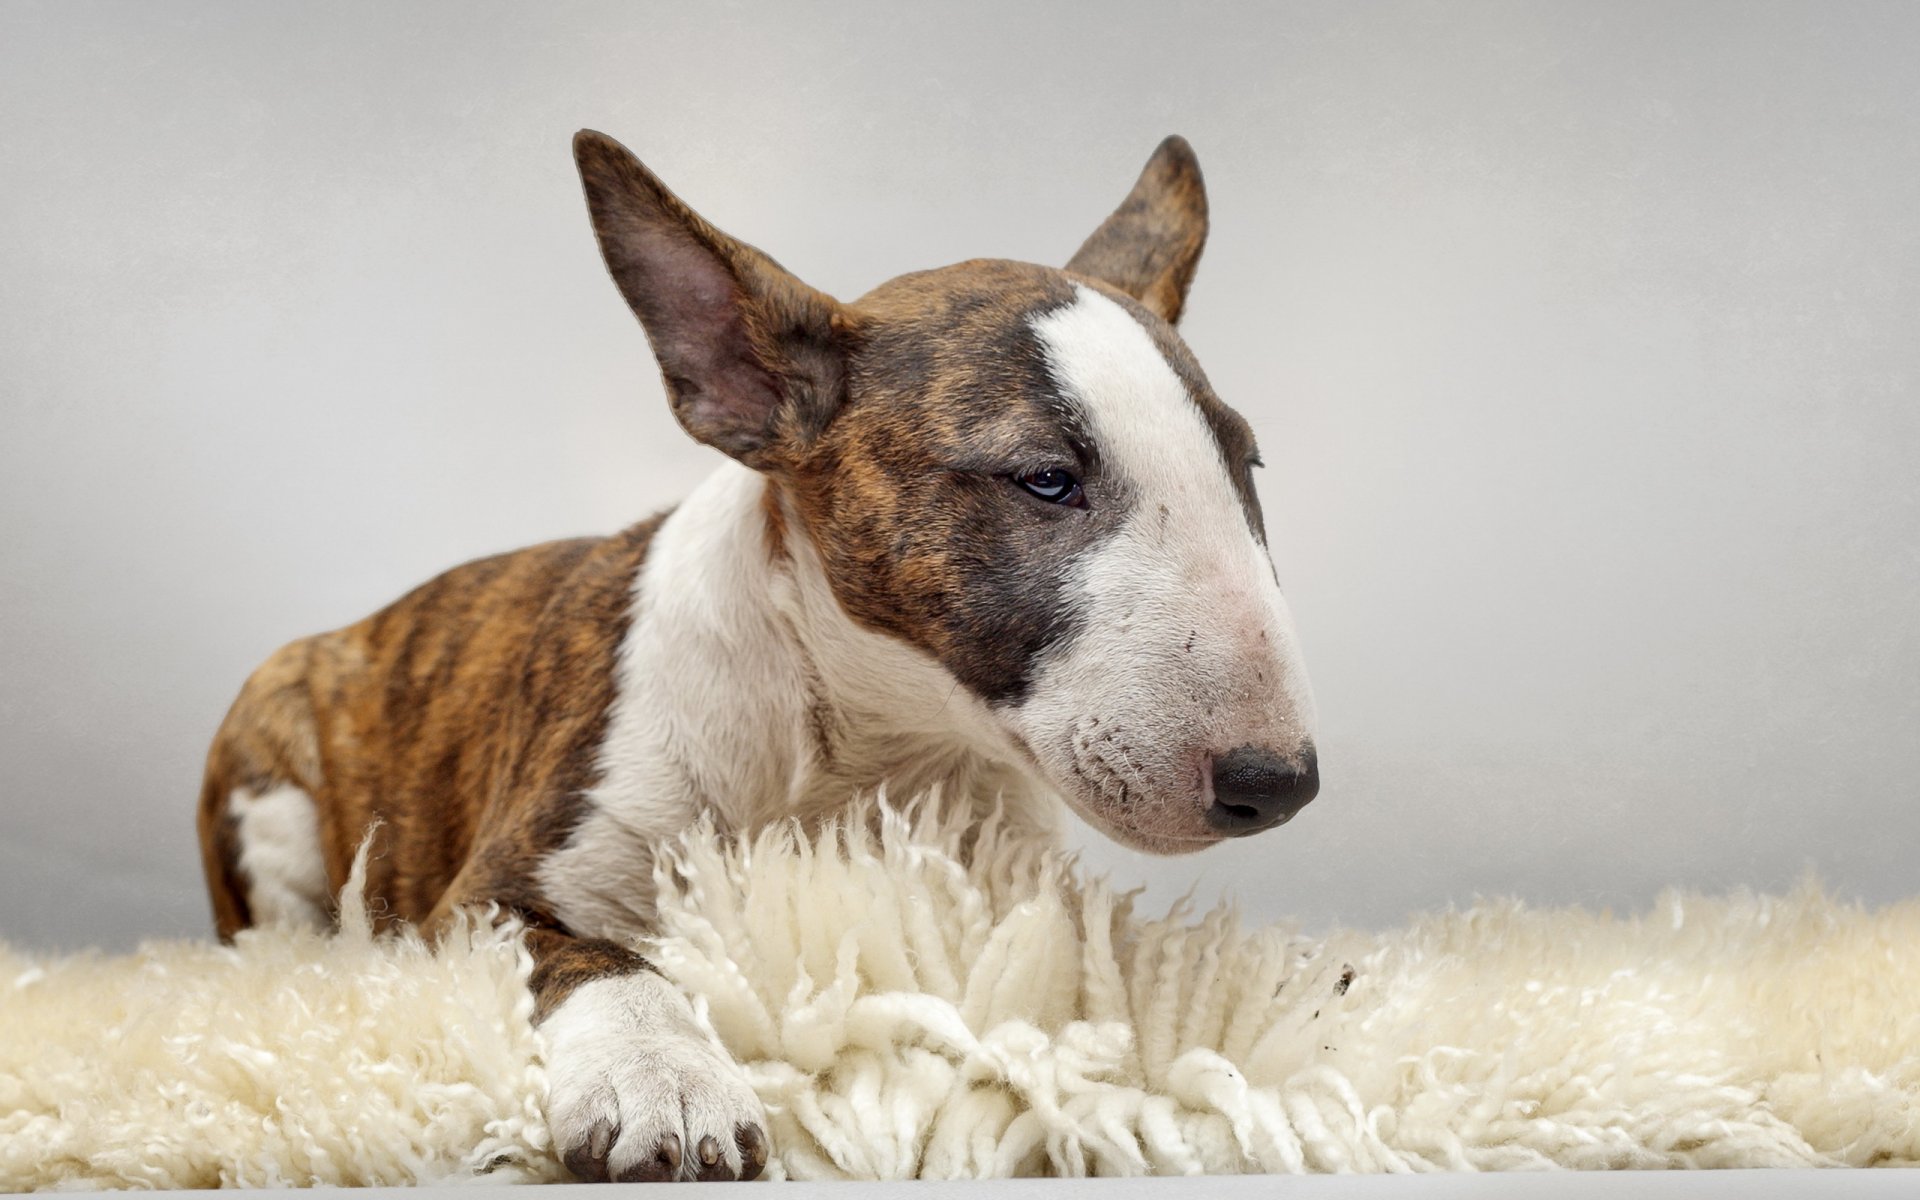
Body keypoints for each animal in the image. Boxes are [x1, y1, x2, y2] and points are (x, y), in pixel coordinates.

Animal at [198, 130, 1320, 1182]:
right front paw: (663, 1082)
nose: (1280, 784)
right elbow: (599, 957)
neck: (860, 744)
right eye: (1043, 478)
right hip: (275, 784)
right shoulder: (476, 900)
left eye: (1247, 465)